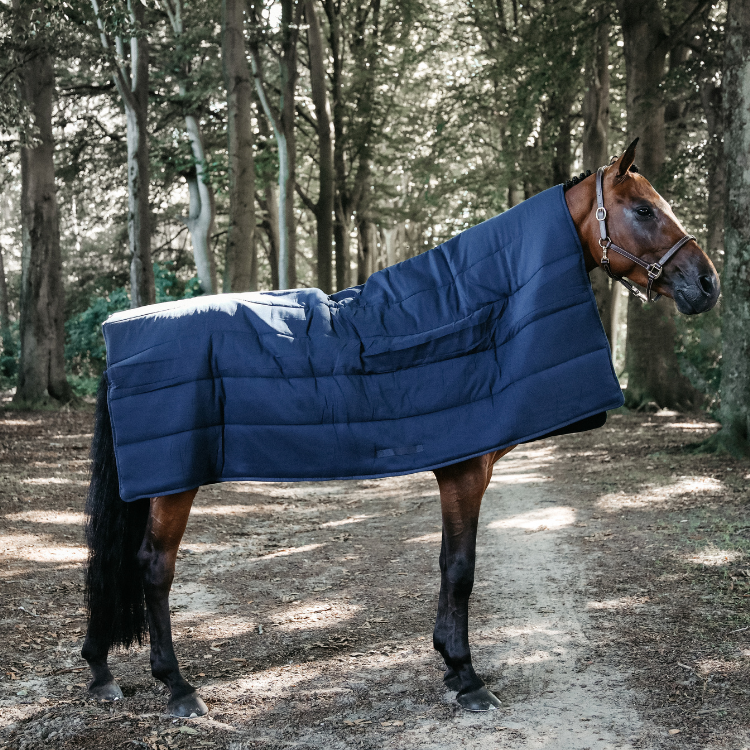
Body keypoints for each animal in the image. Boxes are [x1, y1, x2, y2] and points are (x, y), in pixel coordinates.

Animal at [81, 139, 719, 717]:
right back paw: (177, 687)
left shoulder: (460, 468)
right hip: (174, 483)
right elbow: (461, 570)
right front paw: (467, 678)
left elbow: (444, 562)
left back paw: (101, 672)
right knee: (154, 567)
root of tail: (119, 331)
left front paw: (450, 663)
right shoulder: (464, 470)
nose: (707, 283)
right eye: (644, 210)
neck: (471, 304)